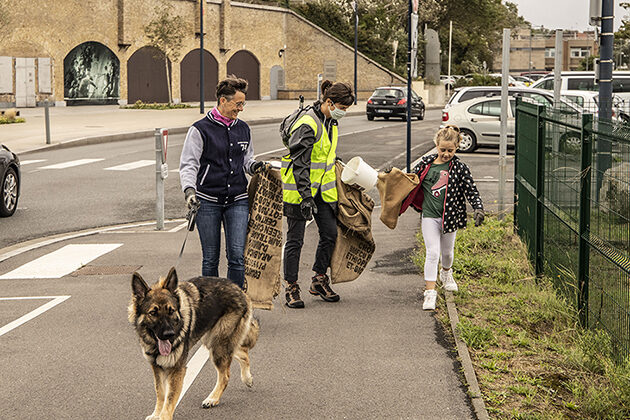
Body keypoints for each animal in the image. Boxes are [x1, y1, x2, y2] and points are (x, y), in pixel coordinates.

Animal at [130, 268, 260, 418]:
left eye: (171, 311)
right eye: (153, 313)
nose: (170, 334)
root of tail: (240, 290)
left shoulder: (176, 370)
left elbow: (169, 399)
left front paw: (163, 416)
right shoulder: (157, 367)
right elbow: (160, 393)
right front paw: (156, 414)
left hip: (218, 346)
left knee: (225, 376)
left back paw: (213, 398)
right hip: (212, 341)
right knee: (242, 353)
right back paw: (247, 378)